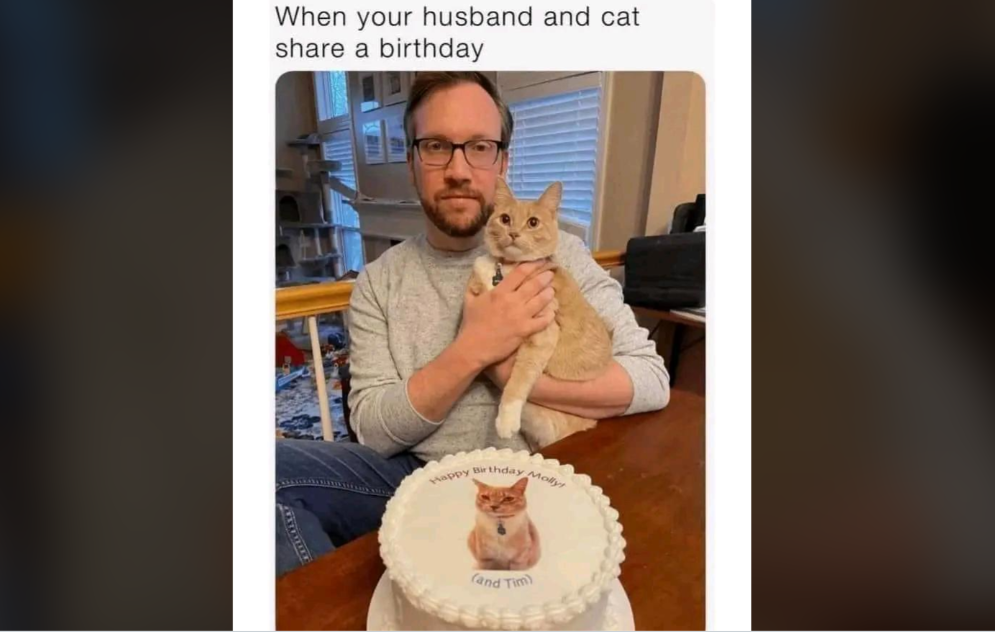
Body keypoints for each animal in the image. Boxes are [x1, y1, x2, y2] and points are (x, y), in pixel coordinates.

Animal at [468, 179, 616, 450]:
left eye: (533, 222)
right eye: (505, 219)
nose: (513, 233)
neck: (508, 269)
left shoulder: (543, 335)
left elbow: (519, 378)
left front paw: (506, 420)